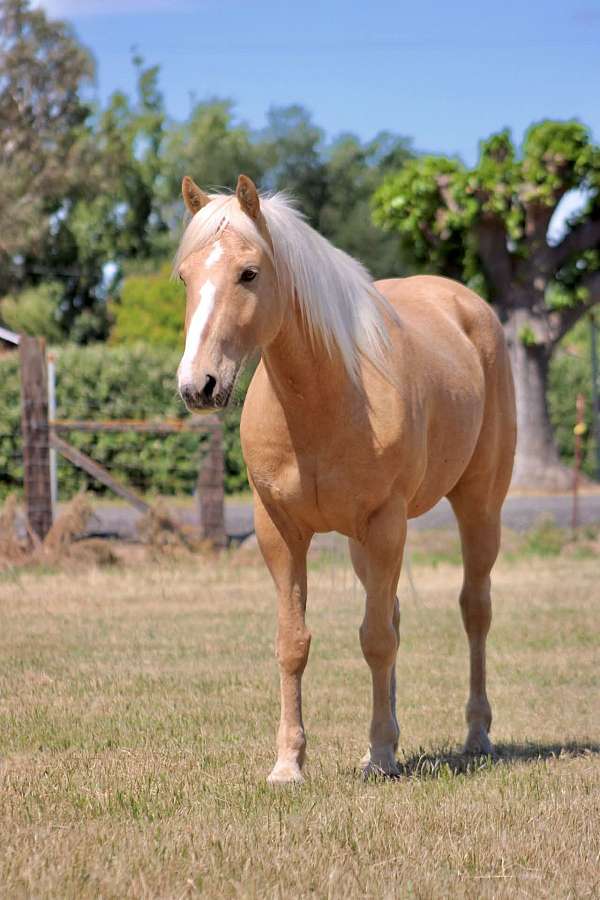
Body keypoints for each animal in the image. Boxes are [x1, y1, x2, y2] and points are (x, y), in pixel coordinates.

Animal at [174, 173, 517, 784]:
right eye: (185, 276)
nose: (198, 385)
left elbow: (376, 640)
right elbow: (295, 642)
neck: (325, 397)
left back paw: (476, 735)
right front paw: (290, 763)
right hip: (366, 542)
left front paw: (379, 756)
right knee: (395, 614)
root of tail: (468, 307)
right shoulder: (281, 531)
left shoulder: (384, 524)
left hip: (477, 507)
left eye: (249, 273)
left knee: (474, 610)